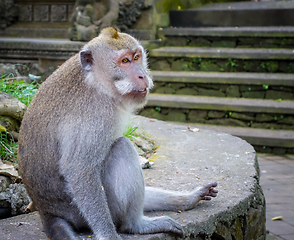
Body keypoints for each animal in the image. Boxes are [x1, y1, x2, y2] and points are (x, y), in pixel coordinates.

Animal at [16, 26, 218, 240]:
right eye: (125, 61)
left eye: (136, 57)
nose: (142, 75)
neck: (96, 82)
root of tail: (46, 211)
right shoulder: (95, 115)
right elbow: (79, 169)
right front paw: (109, 235)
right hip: (87, 212)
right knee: (122, 147)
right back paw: (136, 225)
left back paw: (187, 199)